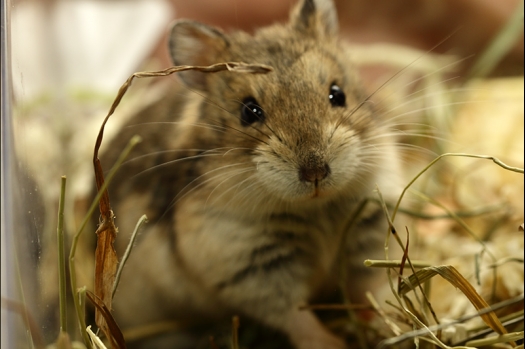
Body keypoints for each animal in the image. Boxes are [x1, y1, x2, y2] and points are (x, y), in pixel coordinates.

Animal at [101, 0, 402, 348]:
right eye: (248, 111)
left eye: (338, 94)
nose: (315, 172)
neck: (314, 208)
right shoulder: (250, 266)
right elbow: (297, 316)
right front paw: (334, 343)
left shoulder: (369, 234)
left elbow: (372, 288)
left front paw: (389, 323)